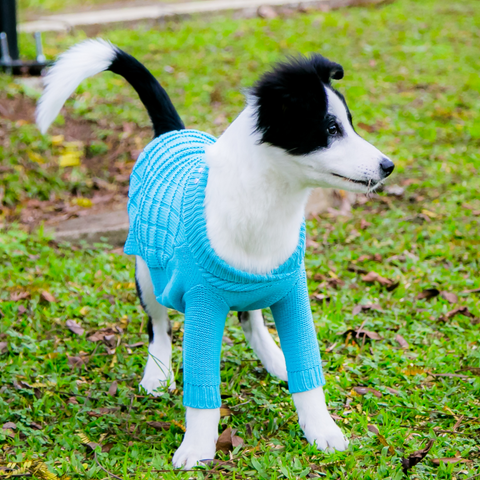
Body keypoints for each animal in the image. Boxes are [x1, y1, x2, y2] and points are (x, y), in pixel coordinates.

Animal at [34, 38, 394, 468]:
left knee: (250, 317)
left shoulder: (292, 291)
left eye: (349, 124)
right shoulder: (203, 302)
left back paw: (275, 359)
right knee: (158, 323)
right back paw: (158, 372)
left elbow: (308, 370)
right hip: (145, 269)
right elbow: (201, 389)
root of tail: (172, 131)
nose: (388, 166)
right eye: (331, 128)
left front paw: (322, 429)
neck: (270, 204)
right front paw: (197, 448)